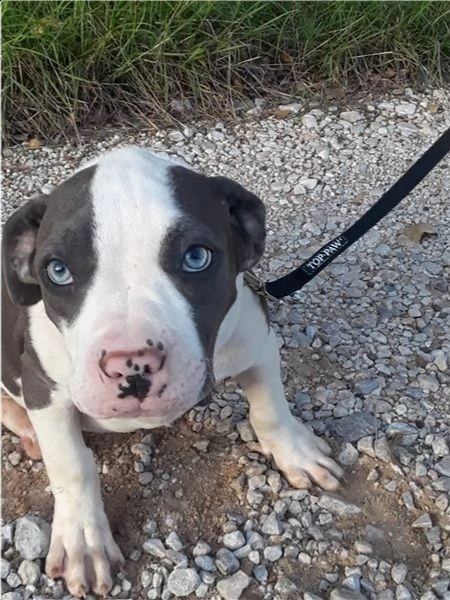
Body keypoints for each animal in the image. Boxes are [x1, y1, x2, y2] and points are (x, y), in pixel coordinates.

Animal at [1, 146, 342, 596]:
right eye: (58, 270)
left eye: (196, 257)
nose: (130, 365)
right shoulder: (44, 387)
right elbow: (70, 464)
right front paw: (83, 539)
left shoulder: (256, 339)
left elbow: (270, 407)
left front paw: (295, 451)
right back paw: (26, 427)